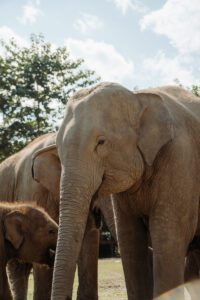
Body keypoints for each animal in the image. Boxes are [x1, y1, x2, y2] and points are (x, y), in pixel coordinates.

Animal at [51, 83, 200, 300]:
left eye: (101, 142)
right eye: (58, 148)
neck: (139, 97)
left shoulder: (181, 161)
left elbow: (168, 240)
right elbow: (130, 241)